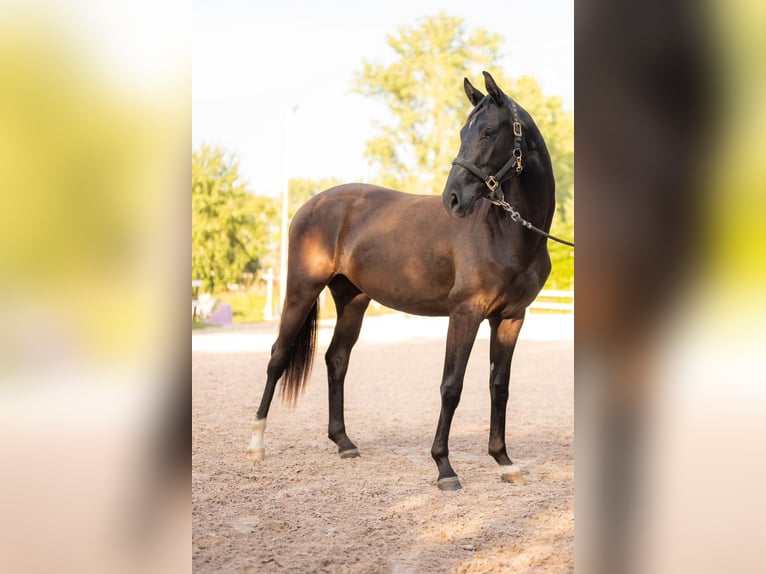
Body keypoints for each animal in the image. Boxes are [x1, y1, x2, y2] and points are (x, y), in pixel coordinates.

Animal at [249, 72, 556, 492]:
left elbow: (499, 386)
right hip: (300, 291)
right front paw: (444, 467)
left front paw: (504, 461)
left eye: (489, 132)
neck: (507, 231)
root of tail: (311, 205)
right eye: (464, 131)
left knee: (336, 359)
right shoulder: (465, 312)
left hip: (352, 300)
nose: (453, 199)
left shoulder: (511, 317)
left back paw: (344, 442)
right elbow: (451, 386)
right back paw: (256, 444)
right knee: (277, 357)